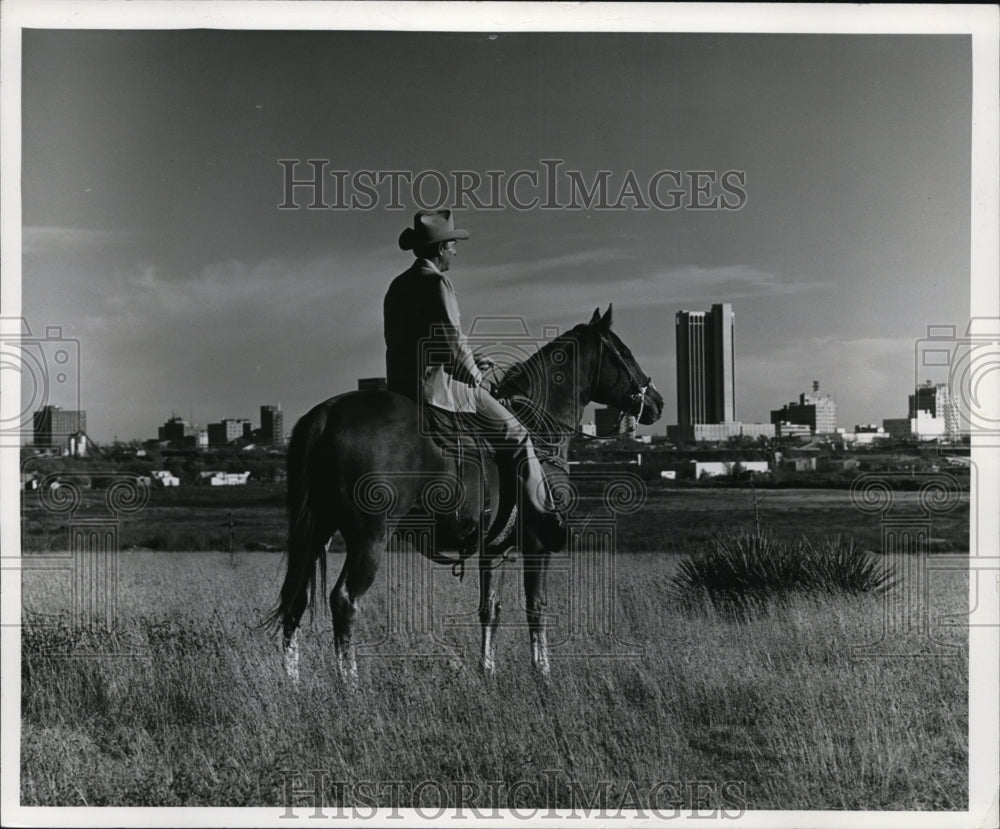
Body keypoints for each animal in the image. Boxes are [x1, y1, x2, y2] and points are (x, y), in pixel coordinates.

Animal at [264, 304, 664, 680]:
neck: (539, 432)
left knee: (296, 599)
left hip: (318, 530)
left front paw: (487, 670)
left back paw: (292, 681)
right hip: (369, 537)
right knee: (345, 601)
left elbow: (490, 609)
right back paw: (350, 684)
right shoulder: (537, 543)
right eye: (624, 352)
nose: (657, 402)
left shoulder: (496, 548)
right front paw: (542, 673)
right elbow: (536, 606)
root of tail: (327, 414)